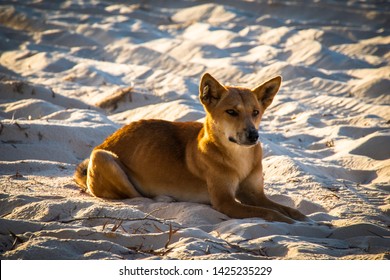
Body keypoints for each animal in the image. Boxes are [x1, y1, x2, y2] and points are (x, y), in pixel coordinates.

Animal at [74, 72, 308, 223]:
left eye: (256, 112)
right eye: (231, 112)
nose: (253, 136)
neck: (238, 156)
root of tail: (106, 139)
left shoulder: (256, 195)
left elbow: (286, 209)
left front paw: (306, 219)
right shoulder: (225, 202)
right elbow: (271, 214)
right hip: (104, 158)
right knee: (136, 196)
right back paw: (163, 197)